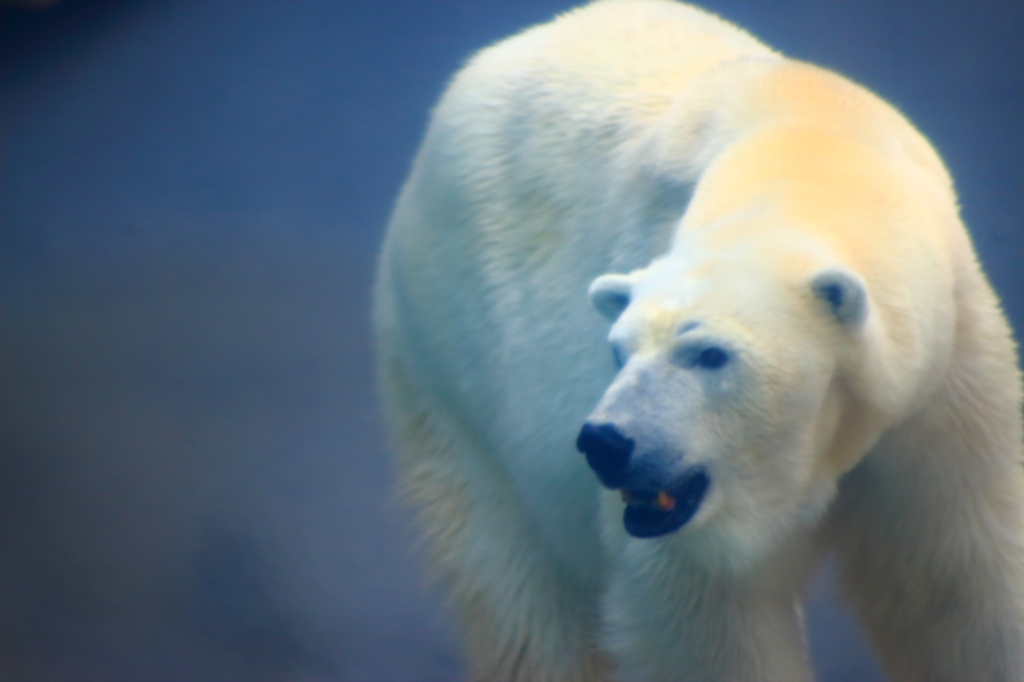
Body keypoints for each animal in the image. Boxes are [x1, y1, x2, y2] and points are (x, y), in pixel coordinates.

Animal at [374, 2, 1024, 675]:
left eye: (710, 355)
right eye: (618, 351)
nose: (606, 442)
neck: (811, 150)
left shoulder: (944, 382)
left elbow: (956, 584)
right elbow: (705, 619)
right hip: (457, 377)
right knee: (521, 595)